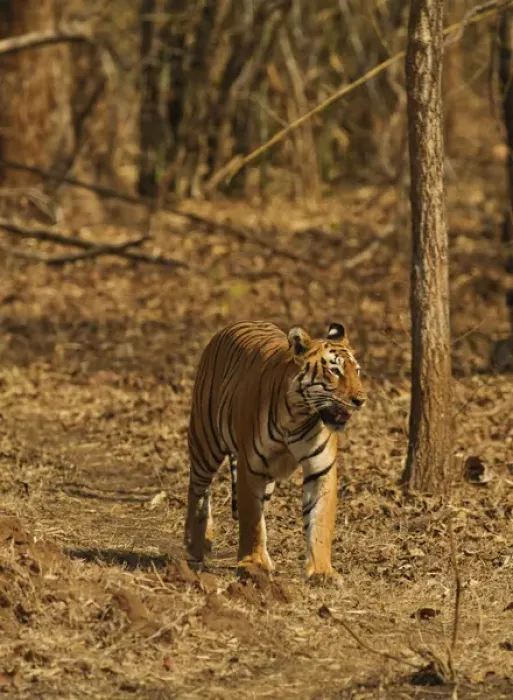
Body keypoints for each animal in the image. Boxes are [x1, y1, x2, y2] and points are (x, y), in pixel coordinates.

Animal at [184, 320, 366, 579]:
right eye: (335, 371)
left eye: (356, 371)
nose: (360, 400)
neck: (298, 415)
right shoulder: (251, 468)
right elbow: (252, 521)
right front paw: (253, 565)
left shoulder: (321, 469)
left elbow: (320, 520)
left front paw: (321, 571)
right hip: (205, 441)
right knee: (198, 490)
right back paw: (196, 546)